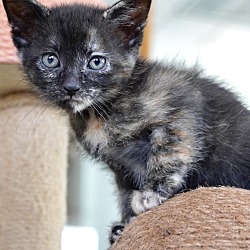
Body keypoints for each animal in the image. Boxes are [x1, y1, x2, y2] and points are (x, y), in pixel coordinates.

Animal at [2, 0, 250, 244]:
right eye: (50, 60)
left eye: (96, 62)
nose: (72, 87)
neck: (97, 113)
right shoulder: (120, 166)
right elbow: (124, 192)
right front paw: (125, 224)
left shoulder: (181, 103)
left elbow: (169, 152)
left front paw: (150, 194)